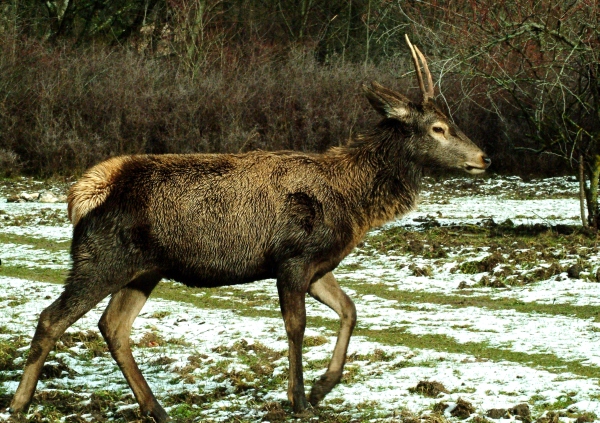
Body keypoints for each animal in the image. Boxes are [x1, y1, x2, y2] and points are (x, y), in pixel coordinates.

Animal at [7, 35, 490, 420]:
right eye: (438, 127)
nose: (484, 157)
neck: (353, 203)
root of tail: (83, 194)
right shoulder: (292, 258)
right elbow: (297, 326)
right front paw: (299, 399)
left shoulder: (317, 265)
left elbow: (350, 310)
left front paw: (322, 388)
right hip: (100, 259)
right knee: (52, 318)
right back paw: (19, 403)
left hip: (144, 270)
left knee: (113, 326)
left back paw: (155, 407)